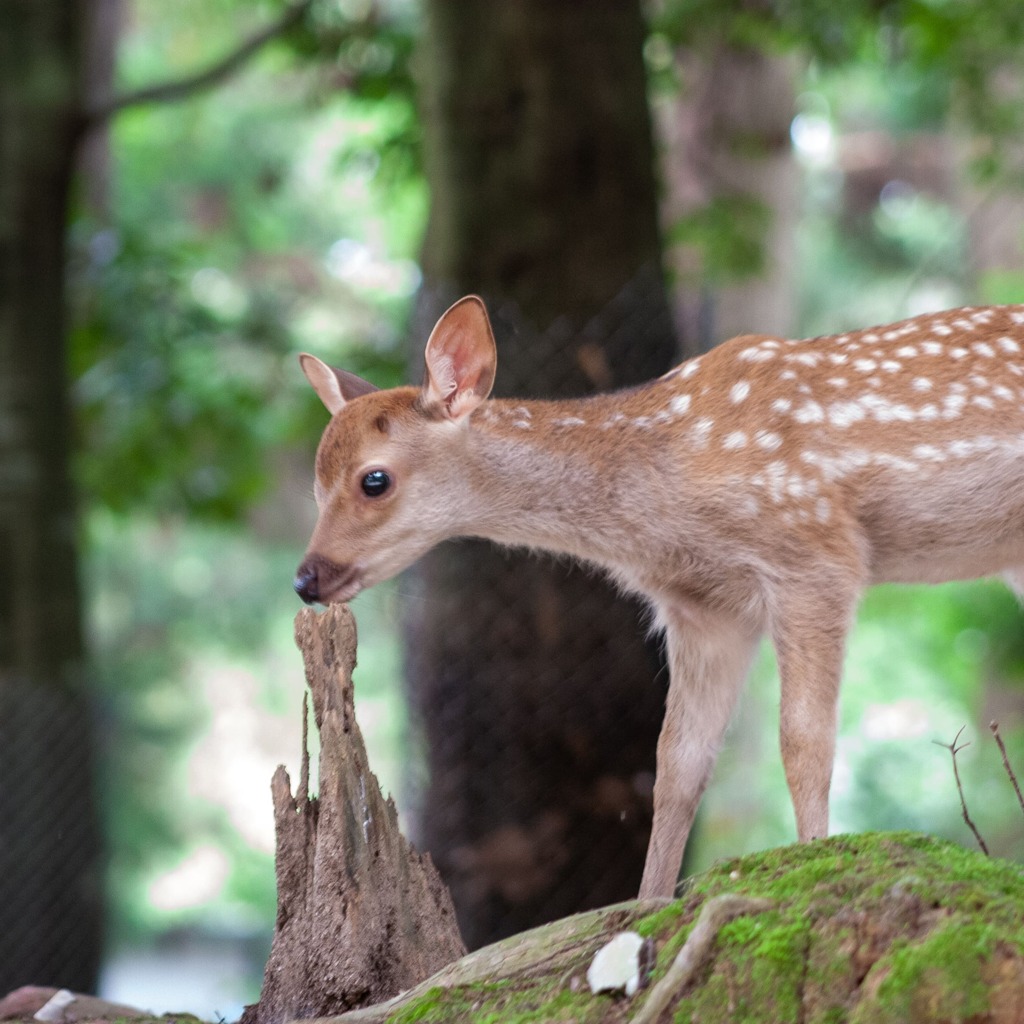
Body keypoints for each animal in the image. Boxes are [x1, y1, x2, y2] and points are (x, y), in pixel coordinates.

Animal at [294, 294, 1024, 897]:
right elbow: (677, 763)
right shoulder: (704, 607)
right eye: (315, 484)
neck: (662, 501)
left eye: (374, 480)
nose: (307, 577)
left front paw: (814, 858)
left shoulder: (816, 552)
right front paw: (646, 903)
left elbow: (804, 740)